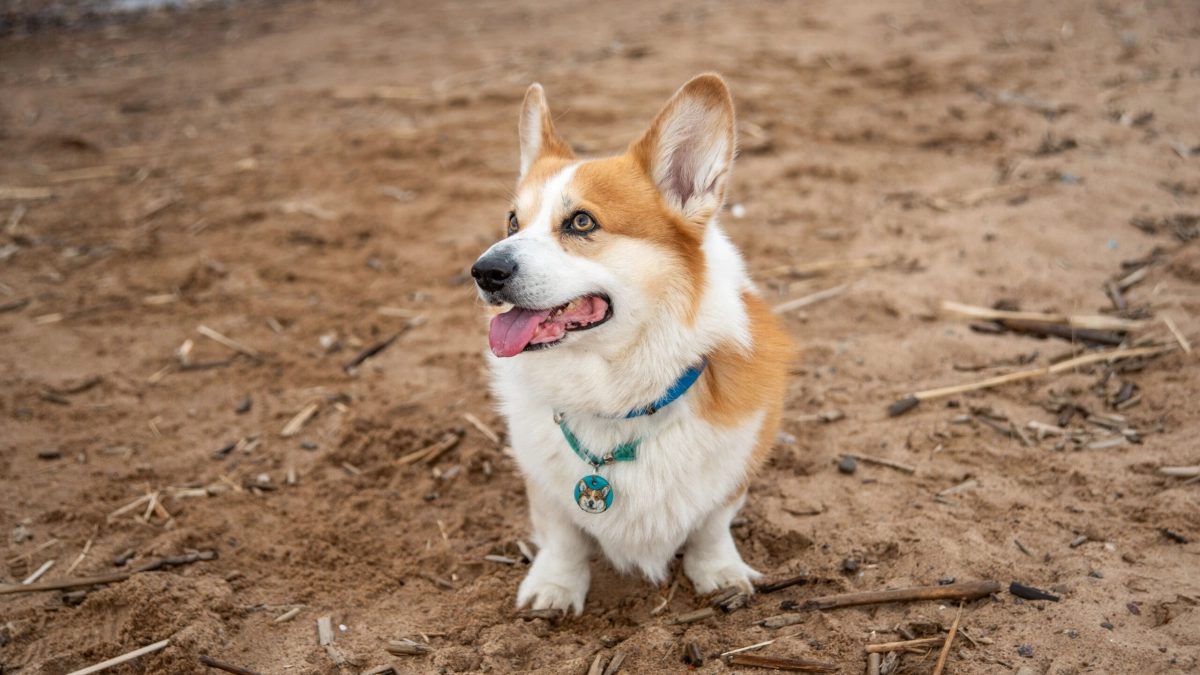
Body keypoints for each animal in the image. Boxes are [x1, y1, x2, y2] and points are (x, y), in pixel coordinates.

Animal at [470, 74, 796, 614]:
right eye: (513, 222)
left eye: (581, 222)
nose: (484, 271)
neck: (614, 395)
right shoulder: (543, 482)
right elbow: (561, 533)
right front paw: (556, 587)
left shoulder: (734, 469)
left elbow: (712, 524)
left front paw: (719, 573)